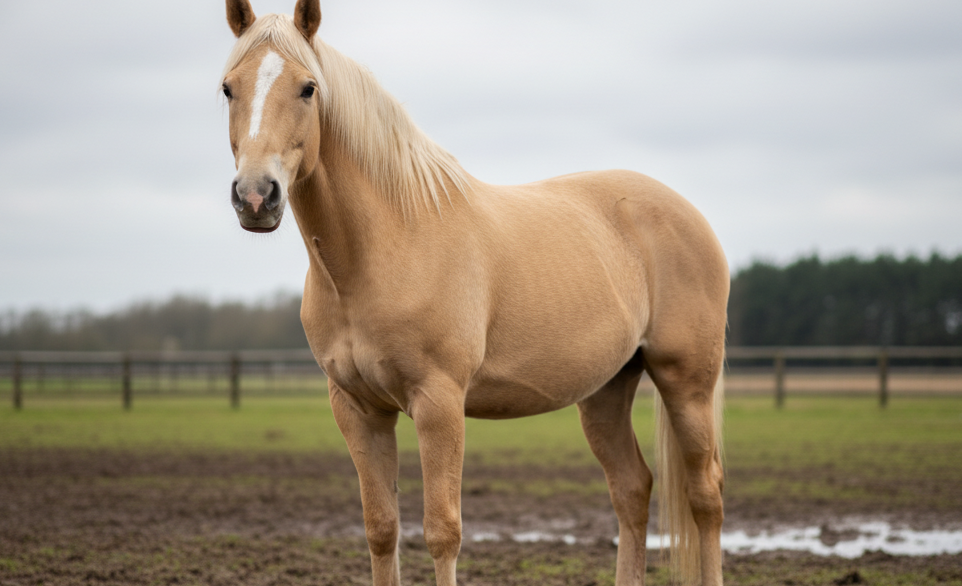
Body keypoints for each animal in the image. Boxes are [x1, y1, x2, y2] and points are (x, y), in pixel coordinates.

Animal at [220, 1, 728, 584]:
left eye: (308, 88)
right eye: (228, 88)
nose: (255, 196)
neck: (385, 247)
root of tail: (687, 213)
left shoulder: (439, 403)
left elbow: (443, 531)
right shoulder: (358, 410)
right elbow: (381, 529)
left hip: (686, 383)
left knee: (705, 496)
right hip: (607, 389)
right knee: (632, 488)